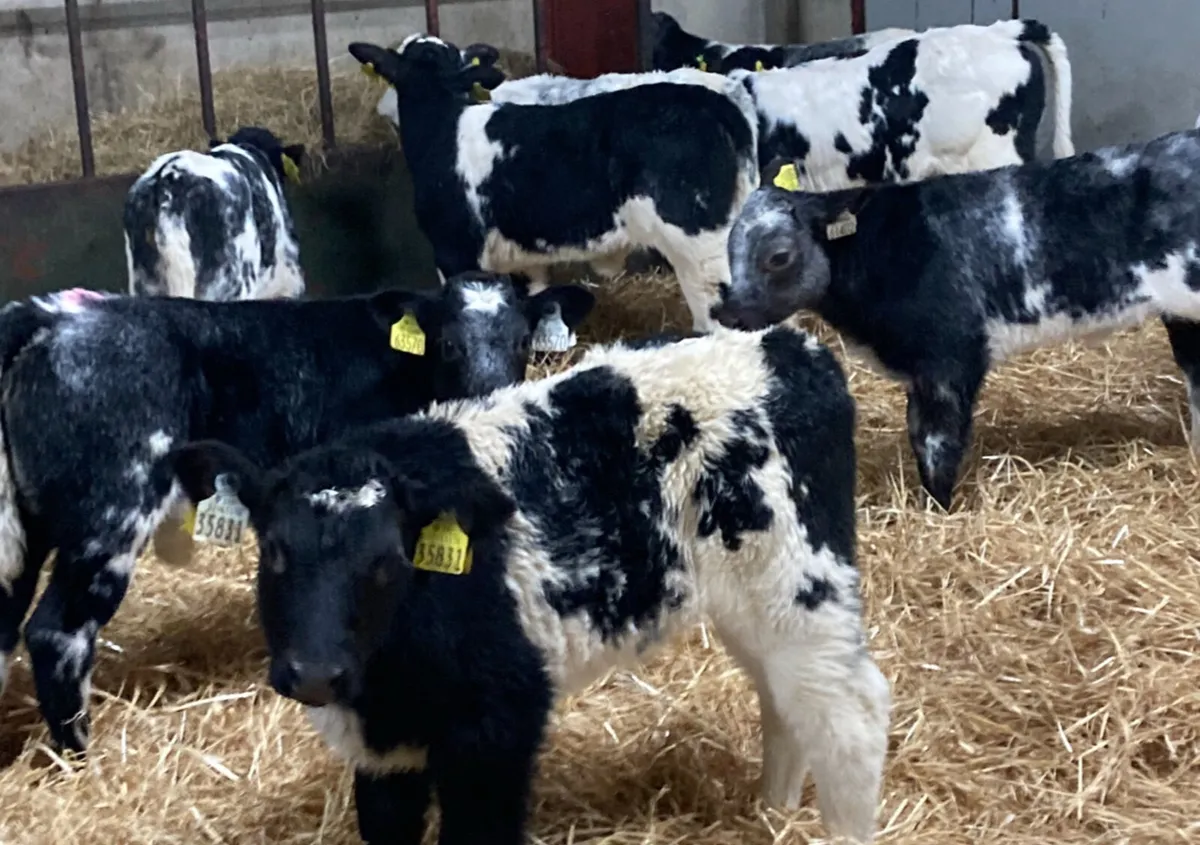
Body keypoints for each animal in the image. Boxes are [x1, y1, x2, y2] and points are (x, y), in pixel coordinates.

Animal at [0, 275, 594, 753]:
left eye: (521, 341)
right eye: (448, 344)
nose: (496, 394)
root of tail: (51, 317)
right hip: (111, 514)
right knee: (58, 634)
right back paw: (81, 755)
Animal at [167, 323, 891, 844]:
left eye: (388, 560)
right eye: (275, 552)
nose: (315, 672)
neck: (387, 685)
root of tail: (790, 347)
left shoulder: (500, 723)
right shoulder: (386, 755)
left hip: (800, 582)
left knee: (850, 709)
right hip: (752, 604)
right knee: (787, 702)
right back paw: (774, 810)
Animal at [712, 121, 1200, 510]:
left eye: (778, 256)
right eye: (729, 246)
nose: (726, 309)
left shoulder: (950, 360)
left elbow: (937, 443)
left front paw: (940, 508)